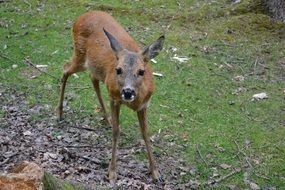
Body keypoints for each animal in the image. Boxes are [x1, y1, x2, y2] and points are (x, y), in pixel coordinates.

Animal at [57, 11, 164, 183]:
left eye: (141, 71)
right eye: (118, 70)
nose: (127, 92)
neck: (134, 103)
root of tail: (80, 17)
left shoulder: (144, 105)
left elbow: (145, 134)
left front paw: (156, 173)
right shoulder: (115, 99)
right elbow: (116, 131)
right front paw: (112, 172)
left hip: (93, 66)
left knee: (91, 78)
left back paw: (106, 118)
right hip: (80, 54)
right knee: (65, 68)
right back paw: (60, 113)